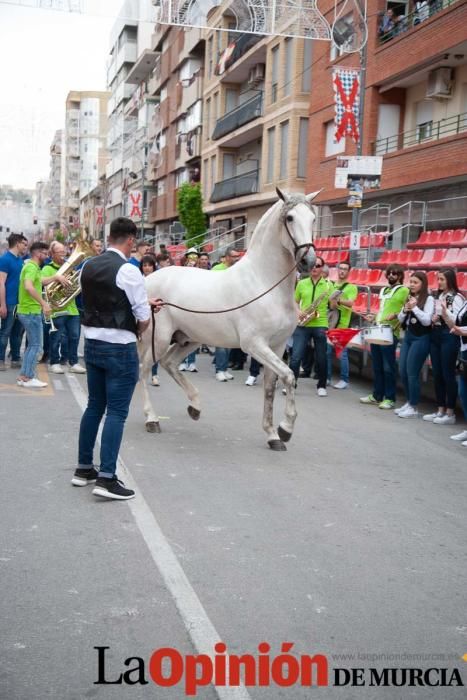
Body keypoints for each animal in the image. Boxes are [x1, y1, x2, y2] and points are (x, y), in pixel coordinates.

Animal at [139, 187, 322, 448]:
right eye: (289, 218)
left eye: (313, 218)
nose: (309, 261)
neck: (264, 283)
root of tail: (147, 280)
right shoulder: (254, 344)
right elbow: (288, 376)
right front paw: (286, 428)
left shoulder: (276, 347)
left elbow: (271, 387)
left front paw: (273, 435)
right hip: (159, 339)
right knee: (144, 370)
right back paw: (152, 419)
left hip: (189, 339)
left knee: (169, 364)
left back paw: (195, 407)